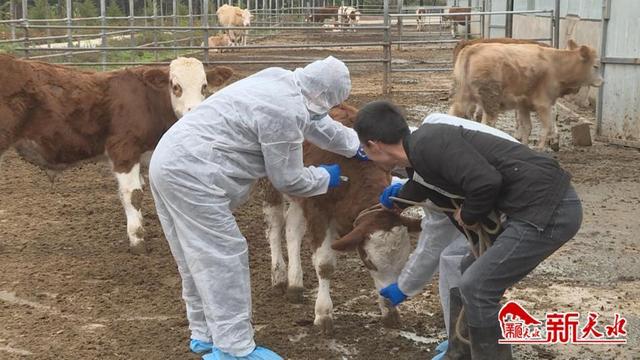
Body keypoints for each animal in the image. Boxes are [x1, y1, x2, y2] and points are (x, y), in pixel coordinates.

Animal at [0, 55, 235, 253]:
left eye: (204, 86)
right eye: (176, 86)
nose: (193, 112)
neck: (148, 101)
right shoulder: (123, 149)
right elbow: (133, 194)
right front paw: (137, 240)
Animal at [260, 102, 420, 334]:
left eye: (403, 260)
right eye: (369, 261)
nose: (391, 302)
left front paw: (390, 314)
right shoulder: (318, 210)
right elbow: (325, 264)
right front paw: (324, 314)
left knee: (292, 229)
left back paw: (295, 284)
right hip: (271, 181)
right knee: (275, 225)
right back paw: (279, 277)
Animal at [448, 40, 604, 149]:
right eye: (596, 66)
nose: (602, 81)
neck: (555, 64)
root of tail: (472, 48)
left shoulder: (524, 106)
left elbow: (527, 128)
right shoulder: (543, 104)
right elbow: (546, 127)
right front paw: (540, 148)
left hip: (463, 98)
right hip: (490, 102)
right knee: (487, 124)